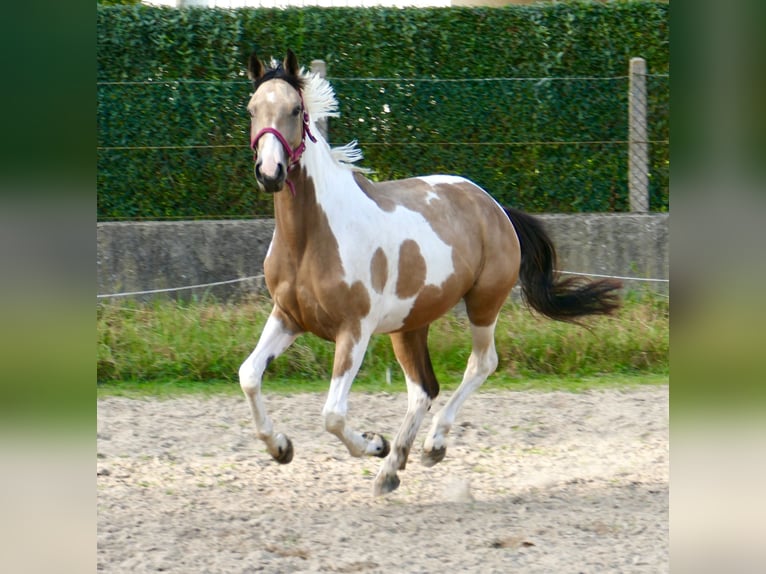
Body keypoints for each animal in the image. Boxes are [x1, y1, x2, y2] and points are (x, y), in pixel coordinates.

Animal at [240, 49, 624, 498]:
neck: (311, 237)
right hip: (408, 325)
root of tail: (493, 206)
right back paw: (392, 469)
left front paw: (373, 443)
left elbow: (332, 414)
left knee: (481, 364)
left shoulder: (354, 330)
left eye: (296, 110)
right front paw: (281, 448)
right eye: (252, 109)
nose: (270, 172)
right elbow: (249, 375)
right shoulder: (288, 317)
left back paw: (429, 446)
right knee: (423, 389)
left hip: (483, 304)